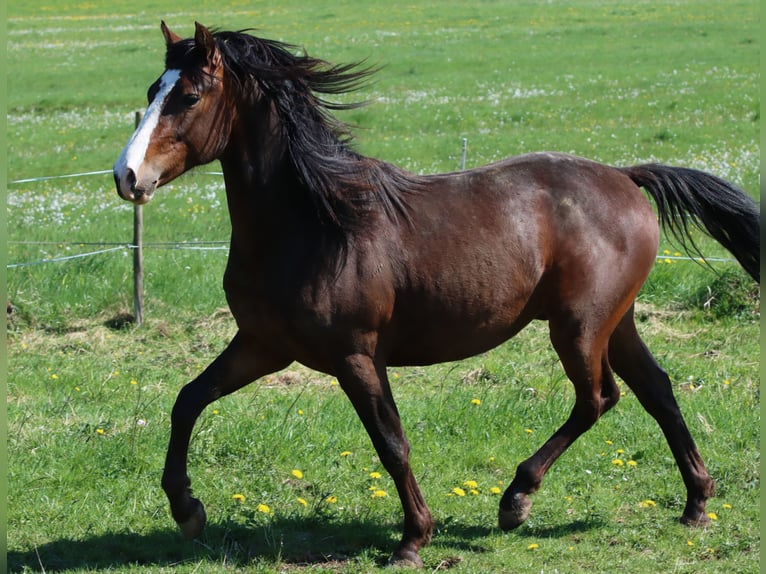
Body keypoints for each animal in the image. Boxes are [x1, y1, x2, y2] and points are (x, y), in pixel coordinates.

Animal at [113, 22, 760, 567]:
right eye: (151, 89)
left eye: (188, 96)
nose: (127, 177)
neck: (315, 223)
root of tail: (626, 177)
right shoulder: (263, 345)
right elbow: (187, 400)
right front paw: (187, 511)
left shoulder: (356, 355)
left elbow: (391, 443)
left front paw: (413, 540)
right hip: (613, 322)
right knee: (657, 390)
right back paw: (696, 504)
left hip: (578, 327)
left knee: (599, 398)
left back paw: (516, 498)